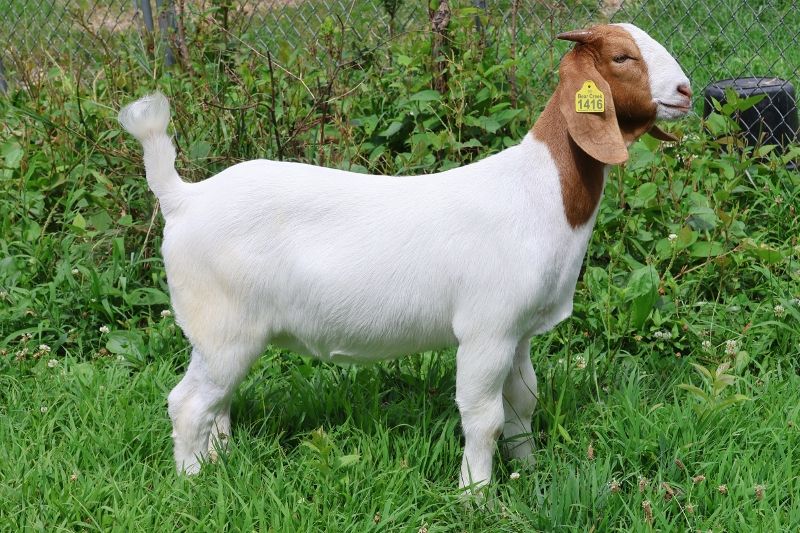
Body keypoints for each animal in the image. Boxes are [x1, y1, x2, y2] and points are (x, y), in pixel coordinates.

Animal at [118, 23, 691, 489]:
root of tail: (183, 197)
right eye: (621, 56)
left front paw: (526, 469)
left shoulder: (520, 330)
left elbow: (523, 403)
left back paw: (220, 462)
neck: (540, 191)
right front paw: (475, 495)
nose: (686, 90)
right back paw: (193, 481)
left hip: (220, 334)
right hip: (223, 326)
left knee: (214, 402)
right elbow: (483, 417)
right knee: (188, 403)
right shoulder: (486, 329)